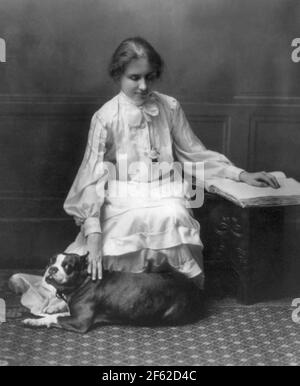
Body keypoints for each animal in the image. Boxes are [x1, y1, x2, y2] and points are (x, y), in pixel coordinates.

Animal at [22, 252, 203, 334]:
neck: (83, 280)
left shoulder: (80, 321)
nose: (52, 269)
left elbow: (56, 318)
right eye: (50, 262)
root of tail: (193, 286)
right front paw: (36, 318)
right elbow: (57, 314)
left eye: (68, 266)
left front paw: (37, 320)